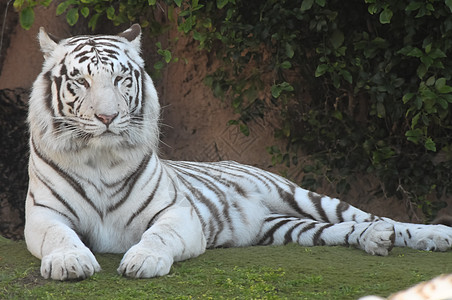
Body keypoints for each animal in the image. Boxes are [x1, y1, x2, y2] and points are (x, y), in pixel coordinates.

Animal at [25, 24, 452, 280]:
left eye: (120, 79)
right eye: (81, 81)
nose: (108, 116)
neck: (100, 157)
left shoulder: (176, 213)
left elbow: (158, 236)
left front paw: (143, 260)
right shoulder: (44, 214)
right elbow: (60, 237)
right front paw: (70, 261)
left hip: (298, 194)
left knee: (374, 216)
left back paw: (431, 235)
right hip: (283, 228)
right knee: (338, 230)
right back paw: (376, 240)